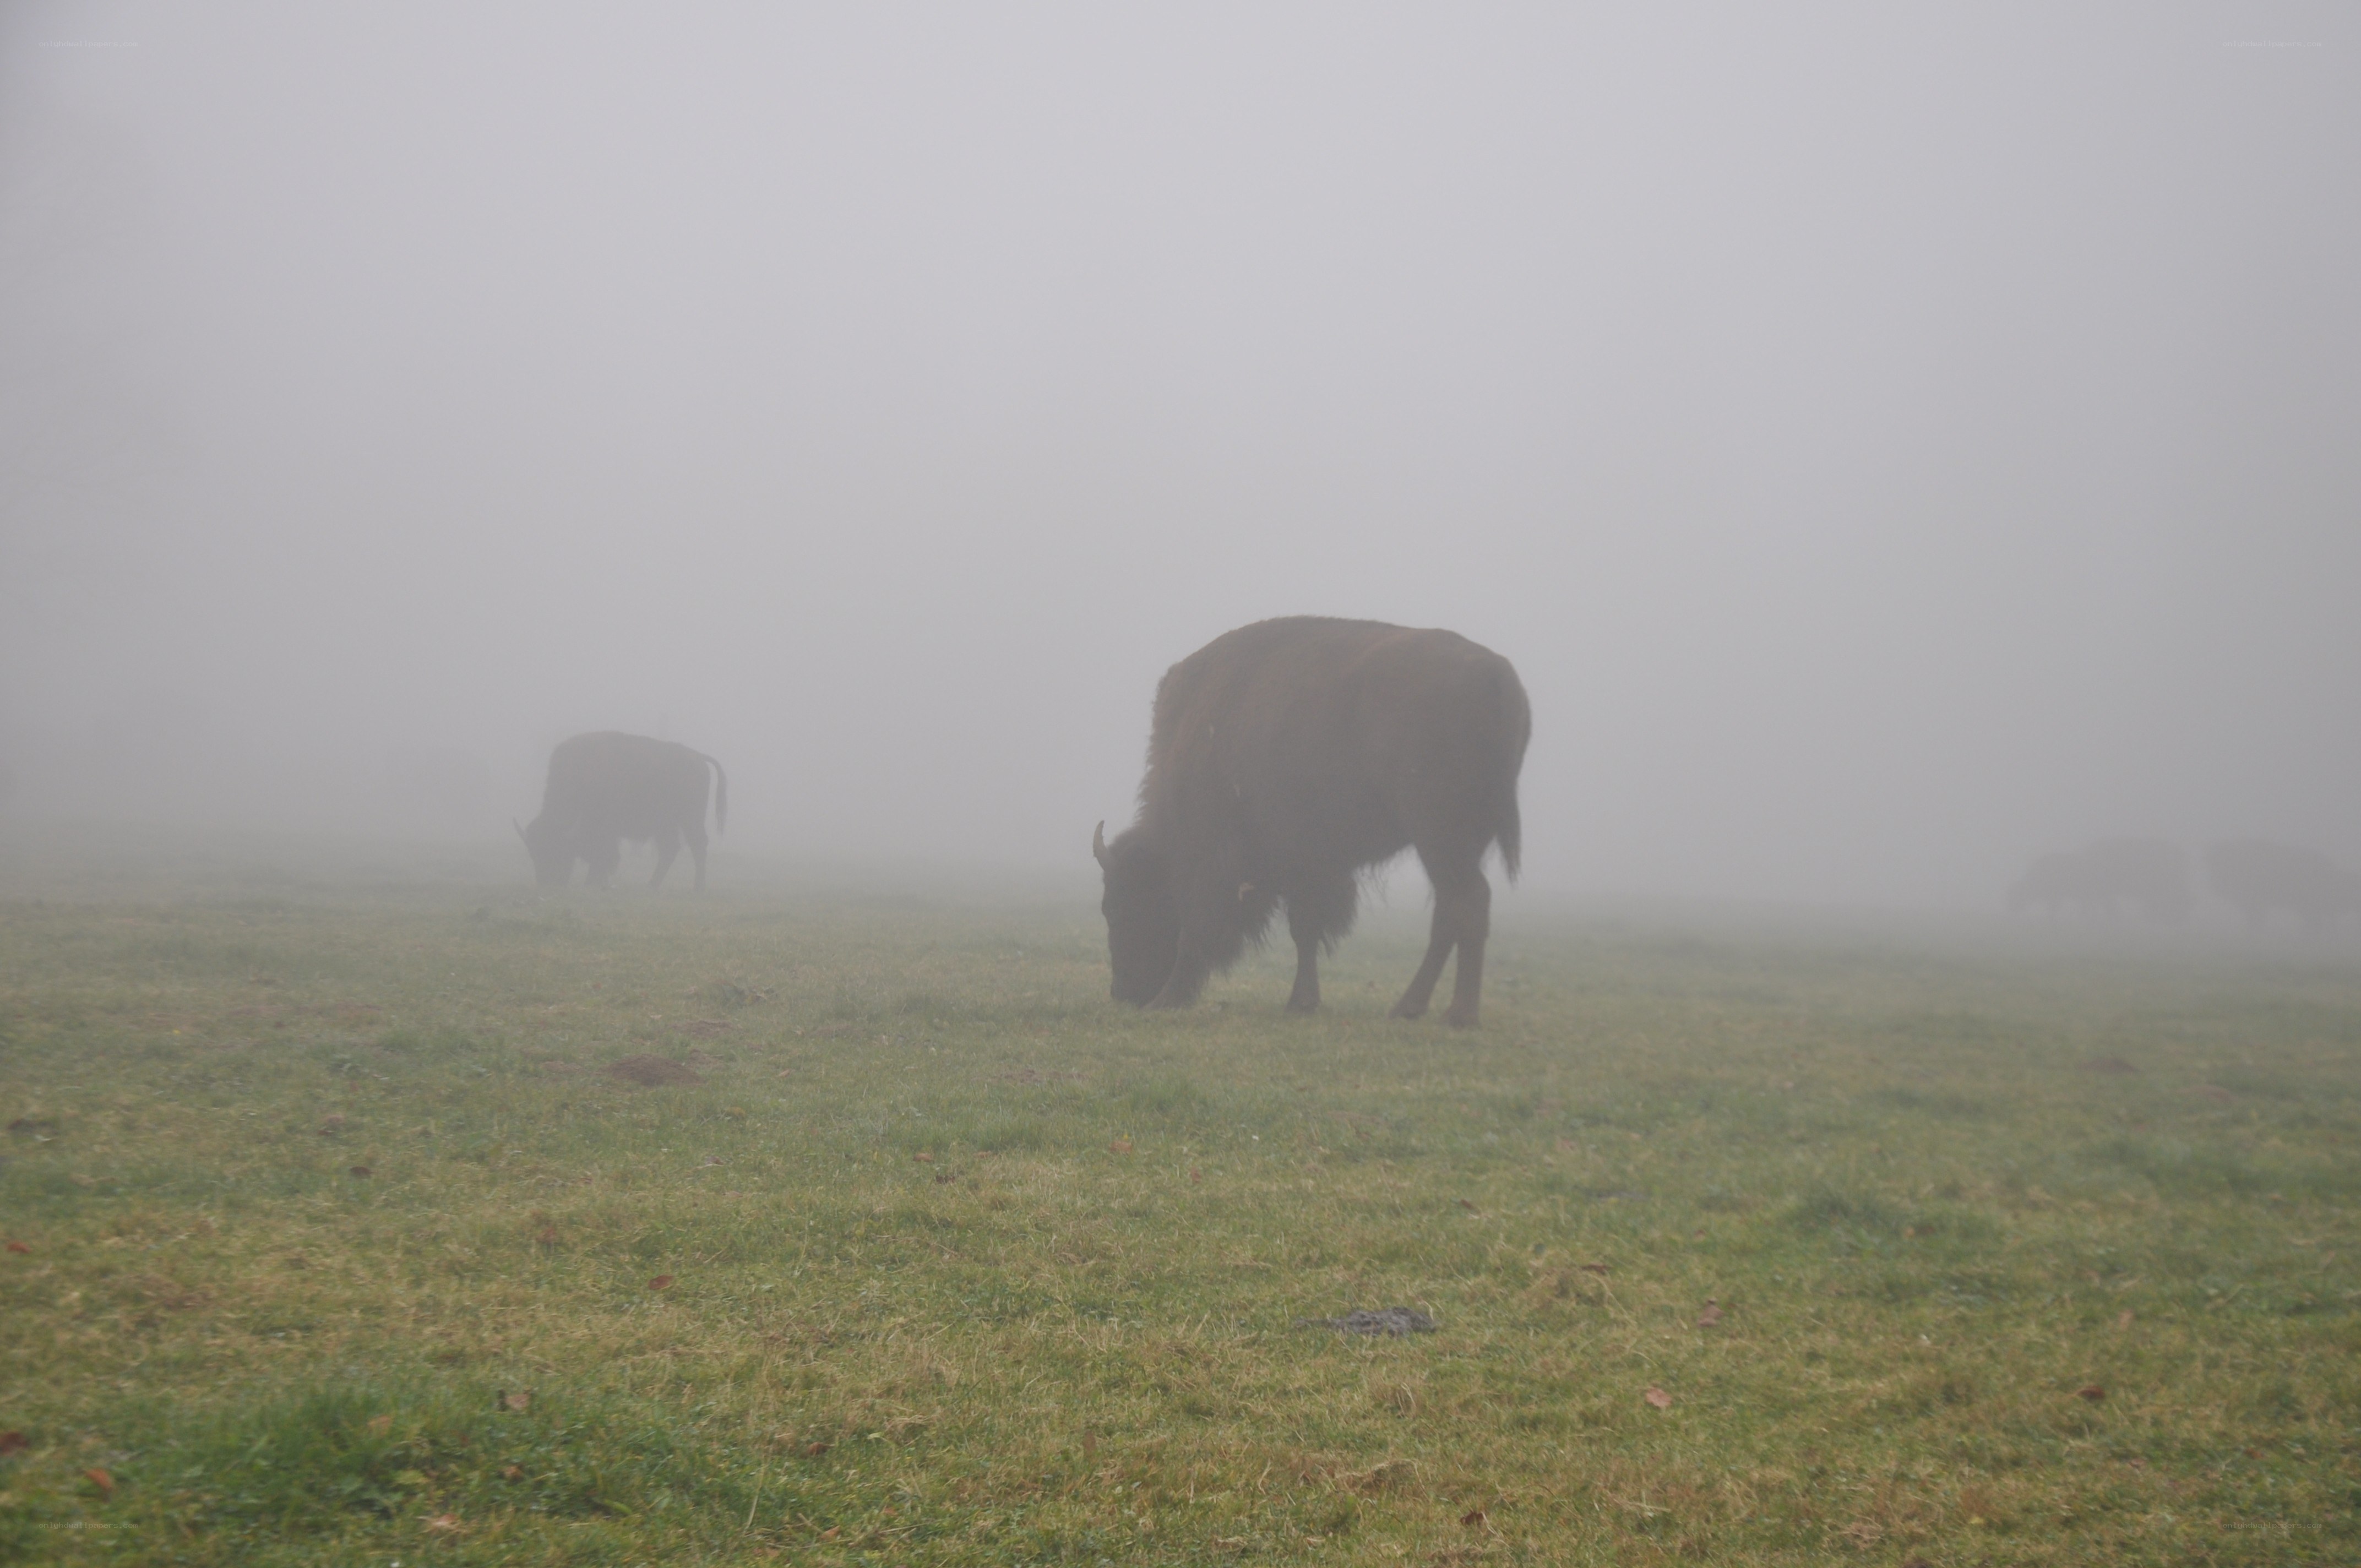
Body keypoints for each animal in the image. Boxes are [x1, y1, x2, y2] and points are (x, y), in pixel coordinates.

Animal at [516, 732, 728, 891]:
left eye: (556, 849)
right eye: (534, 854)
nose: (548, 883)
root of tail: (698, 757)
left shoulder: (603, 830)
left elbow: (603, 854)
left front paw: (592, 882)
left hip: (690, 818)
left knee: (698, 845)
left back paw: (698, 887)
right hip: (667, 824)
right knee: (671, 848)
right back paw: (652, 885)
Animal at [1094, 616, 1530, 1028]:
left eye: (1116, 909)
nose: (1122, 992)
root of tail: (1497, 675)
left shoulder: (1214, 865)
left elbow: (1195, 931)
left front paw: (1166, 1000)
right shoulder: (1307, 866)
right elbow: (1305, 930)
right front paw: (1302, 1002)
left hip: (1439, 836)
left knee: (1467, 903)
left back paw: (1456, 1014)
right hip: (1455, 844)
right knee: (1451, 911)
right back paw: (1412, 1009)